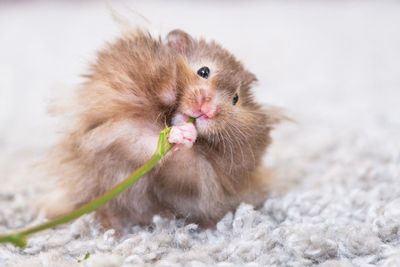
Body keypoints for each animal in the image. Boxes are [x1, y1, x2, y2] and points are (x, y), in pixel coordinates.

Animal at [41, 28, 282, 232]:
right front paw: (178, 133)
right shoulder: (114, 134)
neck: (168, 117)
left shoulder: (196, 180)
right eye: (203, 71)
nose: (208, 111)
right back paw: (111, 231)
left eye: (235, 99)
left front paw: (188, 136)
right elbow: (141, 141)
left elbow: (186, 165)